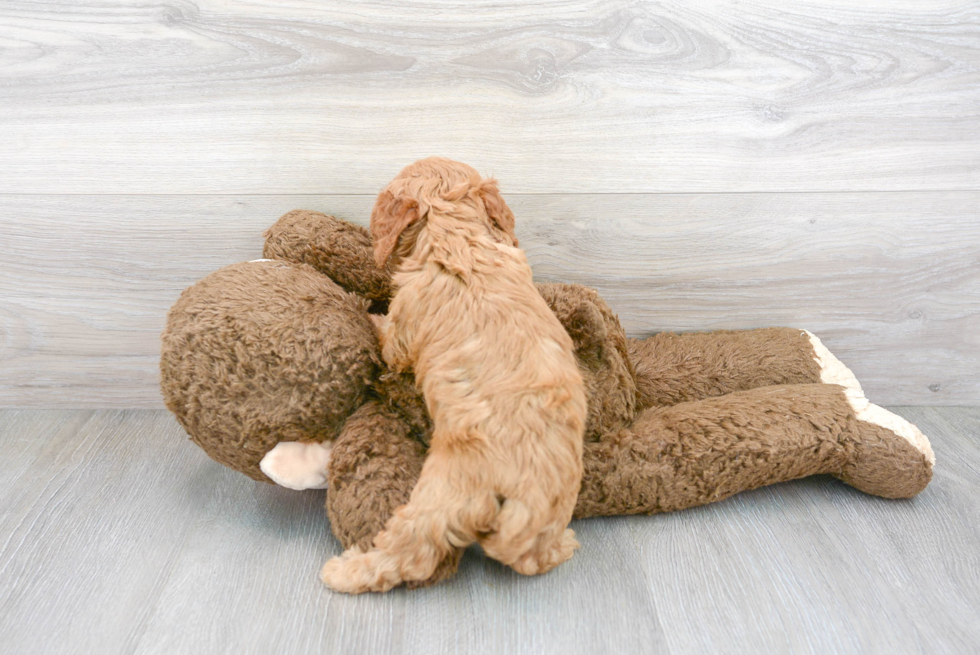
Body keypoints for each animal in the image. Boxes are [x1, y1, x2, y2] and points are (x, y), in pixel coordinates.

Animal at [318, 159, 584, 596]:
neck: (459, 237)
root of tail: (521, 497)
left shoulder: (402, 331)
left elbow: (385, 337)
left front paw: (365, 312)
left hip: (442, 496)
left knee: (412, 552)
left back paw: (347, 571)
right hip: (551, 510)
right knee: (532, 558)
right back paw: (562, 546)